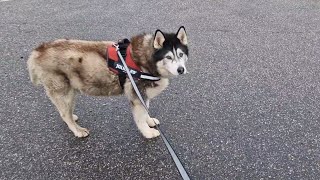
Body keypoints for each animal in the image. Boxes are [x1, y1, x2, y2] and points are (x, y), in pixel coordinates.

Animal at [27, 26, 189, 139]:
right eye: (168, 57)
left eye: (181, 54)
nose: (181, 70)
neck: (146, 59)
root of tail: (38, 50)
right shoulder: (136, 94)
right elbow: (140, 117)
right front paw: (147, 132)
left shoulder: (142, 93)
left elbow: (146, 111)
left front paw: (149, 121)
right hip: (64, 92)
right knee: (64, 114)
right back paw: (77, 129)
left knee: (64, 112)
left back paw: (73, 117)